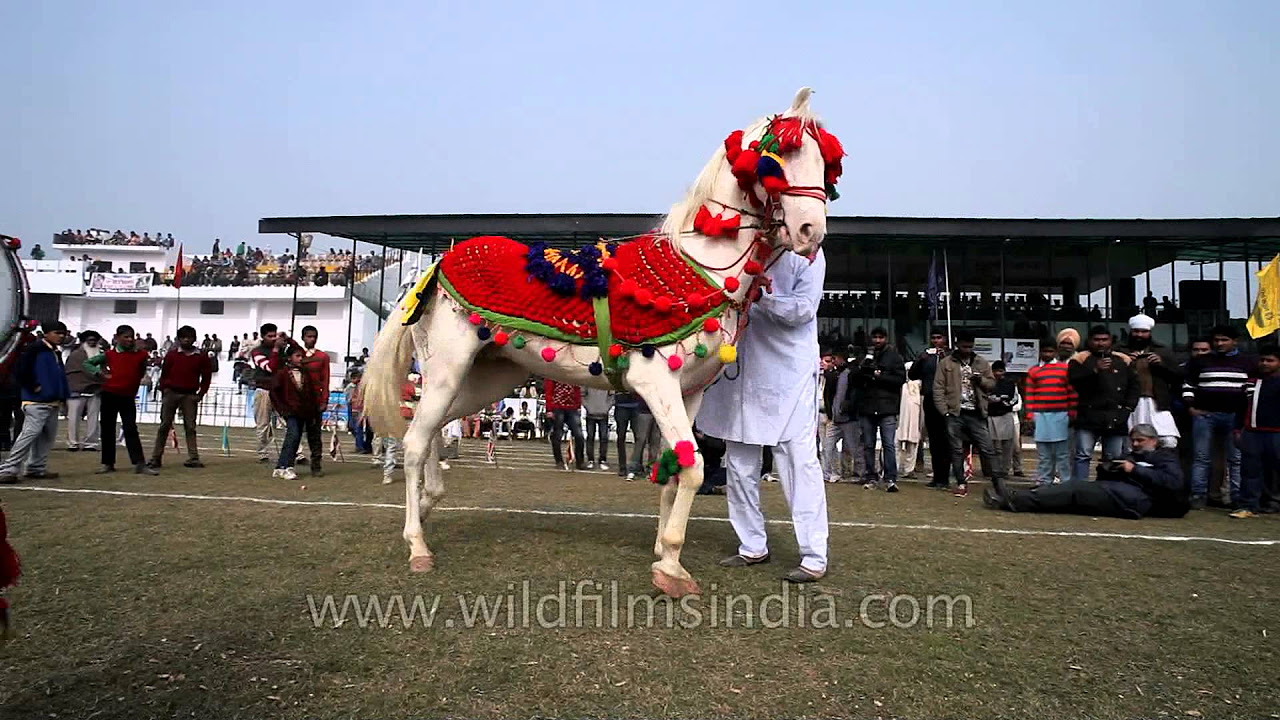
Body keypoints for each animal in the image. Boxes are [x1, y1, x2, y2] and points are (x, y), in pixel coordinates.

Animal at [363, 87, 839, 594]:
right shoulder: (655, 382)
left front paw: (663, 552)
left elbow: (675, 468)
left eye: (826, 167)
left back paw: (428, 504)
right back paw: (417, 545)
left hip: (488, 378)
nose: (811, 232)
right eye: (781, 156)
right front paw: (671, 569)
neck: (701, 265)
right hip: (448, 368)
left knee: (431, 426)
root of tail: (436, 265)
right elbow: (692, 469)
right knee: (416, 439)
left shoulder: (688, 392)